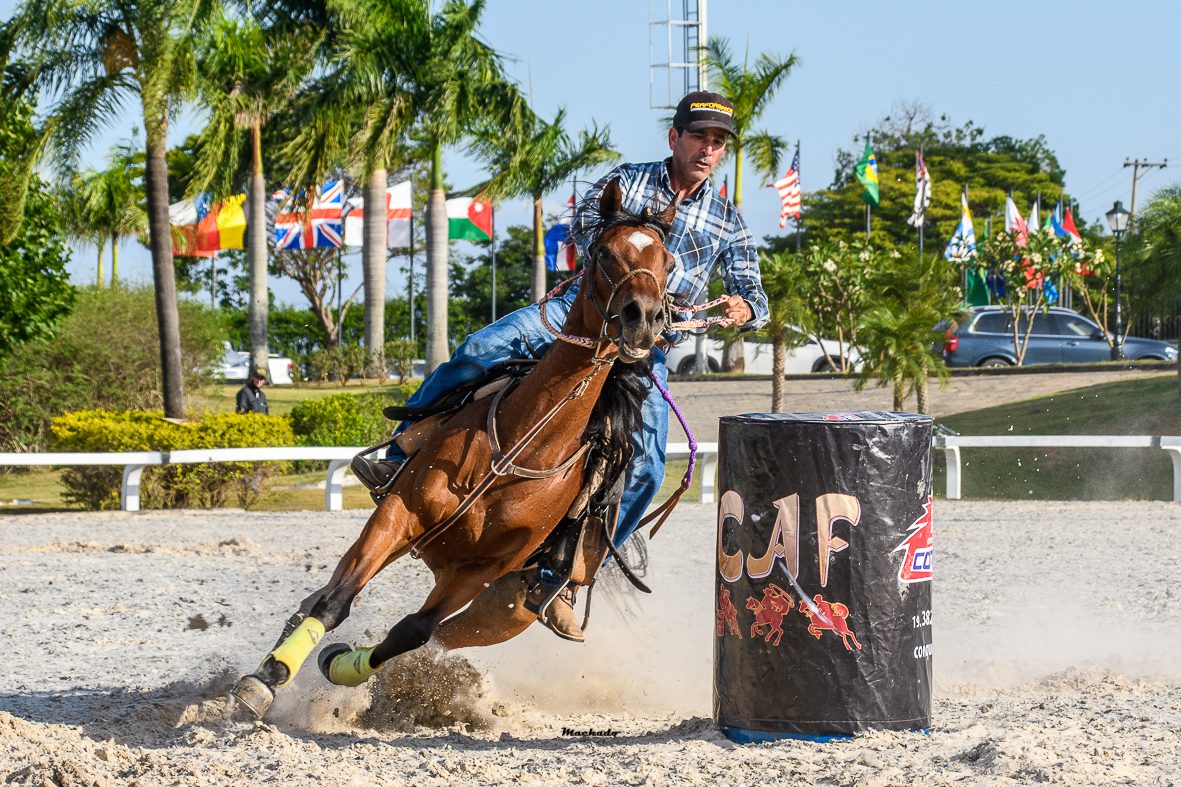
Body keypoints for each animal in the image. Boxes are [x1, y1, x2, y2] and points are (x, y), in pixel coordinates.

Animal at [229, 179, 675, 718]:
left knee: (439, 637)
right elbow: (337, 602)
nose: (643, 317)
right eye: (604, 253)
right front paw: (267, 678)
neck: (518, 451)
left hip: (503, 610)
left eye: (669, 262)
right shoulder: (398, 514)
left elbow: (412, 631)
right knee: (328, 594)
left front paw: (337, 665)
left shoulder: (480, 572)